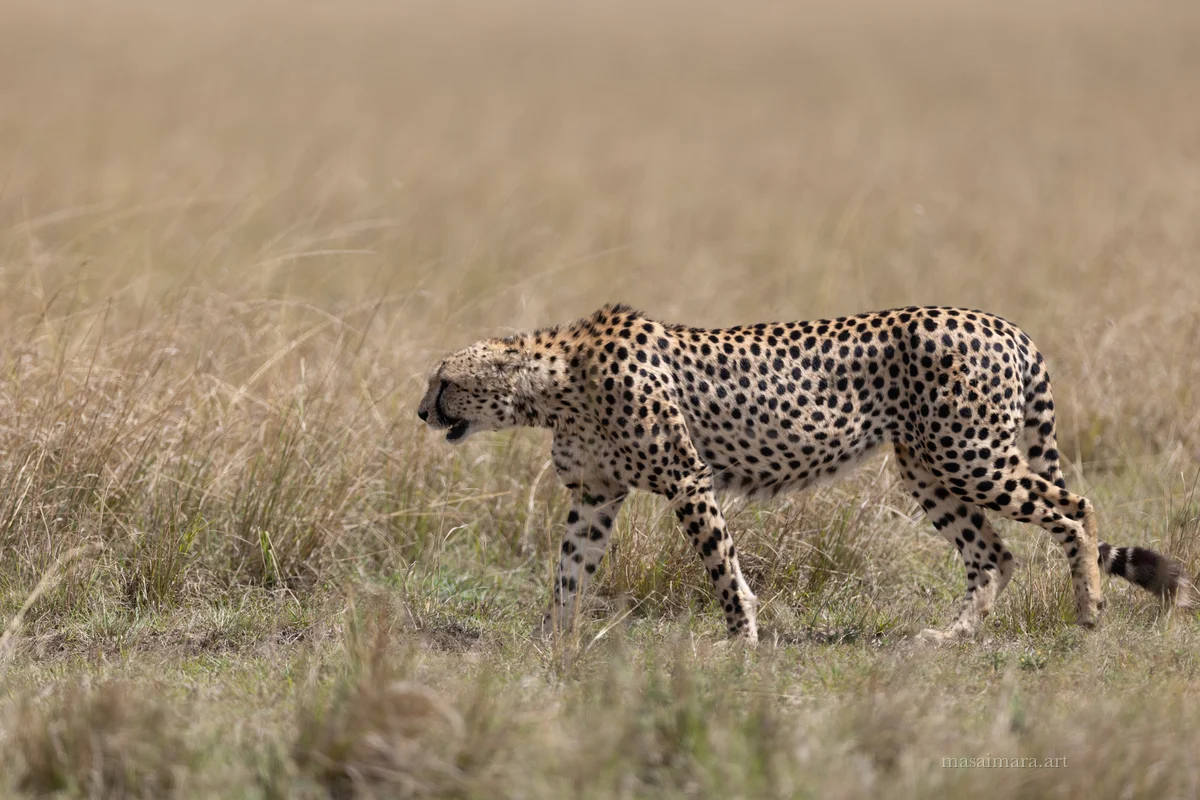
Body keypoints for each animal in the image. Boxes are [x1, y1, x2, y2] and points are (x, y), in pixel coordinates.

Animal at [417, 303, 1195, 644]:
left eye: (444, 380)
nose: (421, 410)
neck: (554, 382)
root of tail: (1004, 324)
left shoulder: (687, 481)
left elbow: (721, 565)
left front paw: (741, 639)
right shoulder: (595, 496)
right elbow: (568, 569)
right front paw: (549, 638)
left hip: (971, 456)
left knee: (1075, 507)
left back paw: (1089, 610)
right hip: (928, 468)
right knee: (995, 554)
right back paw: (953, 635)